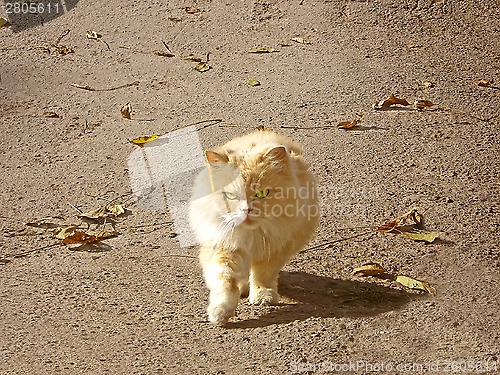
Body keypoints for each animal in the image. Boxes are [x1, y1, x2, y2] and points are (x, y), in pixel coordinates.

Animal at [188, 129, 320, 326]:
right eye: (231, 196)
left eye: (262, 194)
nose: (246, 210)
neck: (252, 234)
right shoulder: (224, 247)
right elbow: (225, 282)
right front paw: (220, 312)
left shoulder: (275, 249)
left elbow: (263, 275)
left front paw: (263, 296)